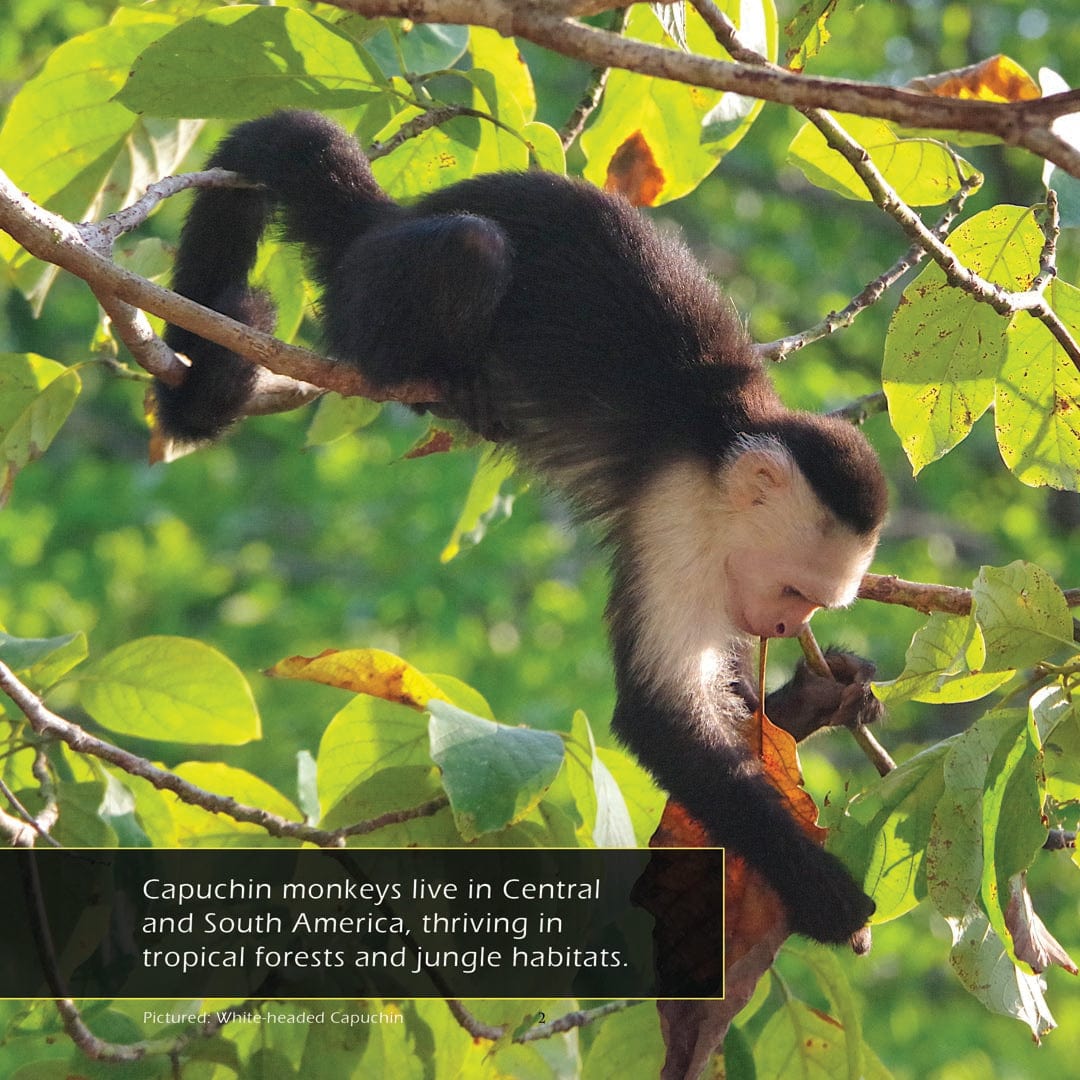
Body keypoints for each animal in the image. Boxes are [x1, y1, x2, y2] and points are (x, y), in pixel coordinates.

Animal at [156, 110, 887, 945]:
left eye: (812, 607)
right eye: (795, 591)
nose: (787, 625)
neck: (723, 444)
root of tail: (388, 217)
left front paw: (819, 699)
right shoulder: (677, 519)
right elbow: (662, 718)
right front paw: (825, 895)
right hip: (372, 285)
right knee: (467, 251)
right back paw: (442, 378)